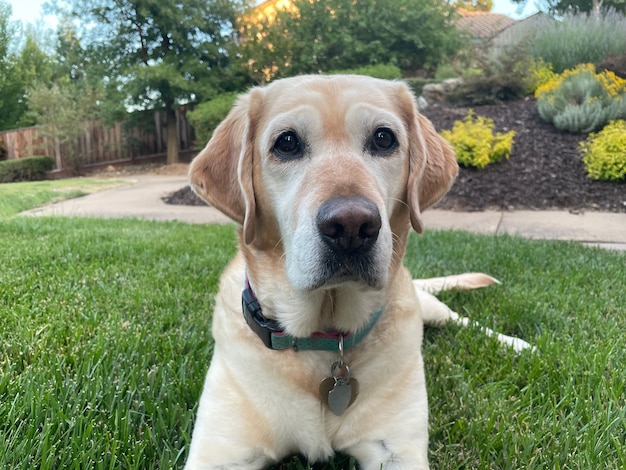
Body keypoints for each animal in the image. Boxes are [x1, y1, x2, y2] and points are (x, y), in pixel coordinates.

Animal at [183, 75, 504, 468]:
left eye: (384, 138)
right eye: (286, 143)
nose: (352, 226)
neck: (323, 337)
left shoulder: (398, 450)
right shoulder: (219, 452)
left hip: (430, 307)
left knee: (464, 321)